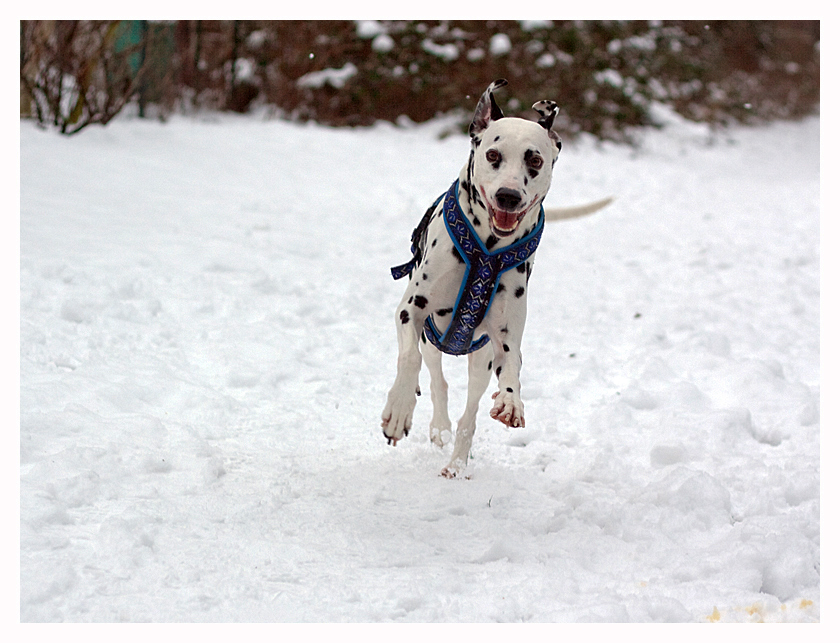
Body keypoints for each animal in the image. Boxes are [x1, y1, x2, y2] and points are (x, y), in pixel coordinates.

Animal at [382, 78, 612, 476]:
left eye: (534, 160)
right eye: (493, 155)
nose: (508, 195)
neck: (486, 250)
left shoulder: (504, 337)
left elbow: (513, 369)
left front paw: (510, 401)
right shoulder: (411, 311)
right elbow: (409, 361)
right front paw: (398, 411)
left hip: (481, 359)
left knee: (469, 416)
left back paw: (456, 464)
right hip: (431, 341)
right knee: (437, 380)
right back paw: (437, 426)